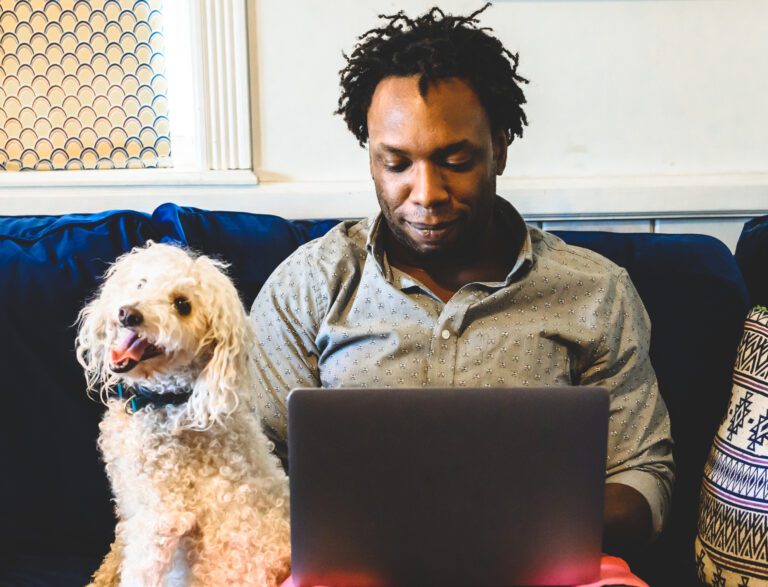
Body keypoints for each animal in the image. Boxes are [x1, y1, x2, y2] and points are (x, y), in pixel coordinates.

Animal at [76, 242, 292, 587]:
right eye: (142, 283)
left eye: (182, 305)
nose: (128, 313)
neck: (163, 401)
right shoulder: (130, 501)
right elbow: (118, 547)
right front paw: (103, 577)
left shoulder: (162, 518)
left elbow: (137, 573)